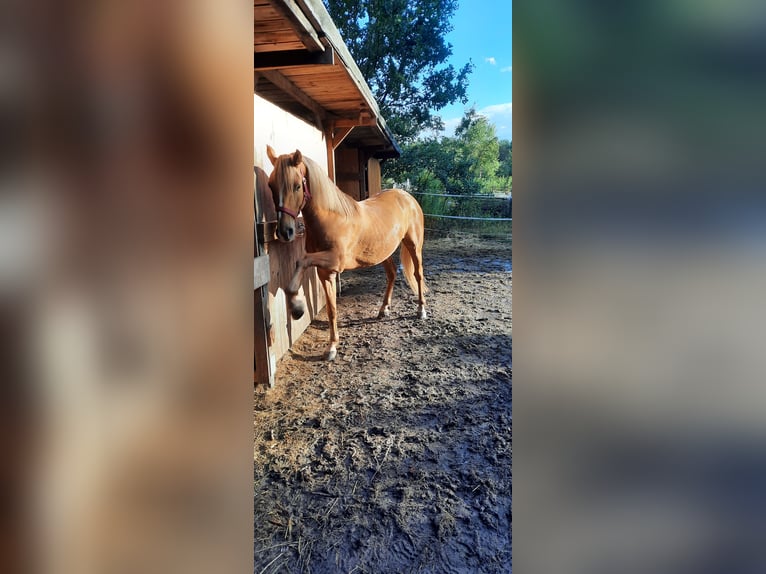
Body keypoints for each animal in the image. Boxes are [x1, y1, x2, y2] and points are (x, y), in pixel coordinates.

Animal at [268, 145, 428, 360]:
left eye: (297, 186)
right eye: (271, 186)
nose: (285, 232)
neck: (332, 218)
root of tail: (407, 197)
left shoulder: (335, 261)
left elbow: (301, 260)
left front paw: (297, 307)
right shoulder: (325, 272)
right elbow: (331, 309)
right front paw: (331, 347)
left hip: (413, 245)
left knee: (418, 275)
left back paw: (421, 310)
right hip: (383, 253)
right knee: (392, 274)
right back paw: (383, 309)